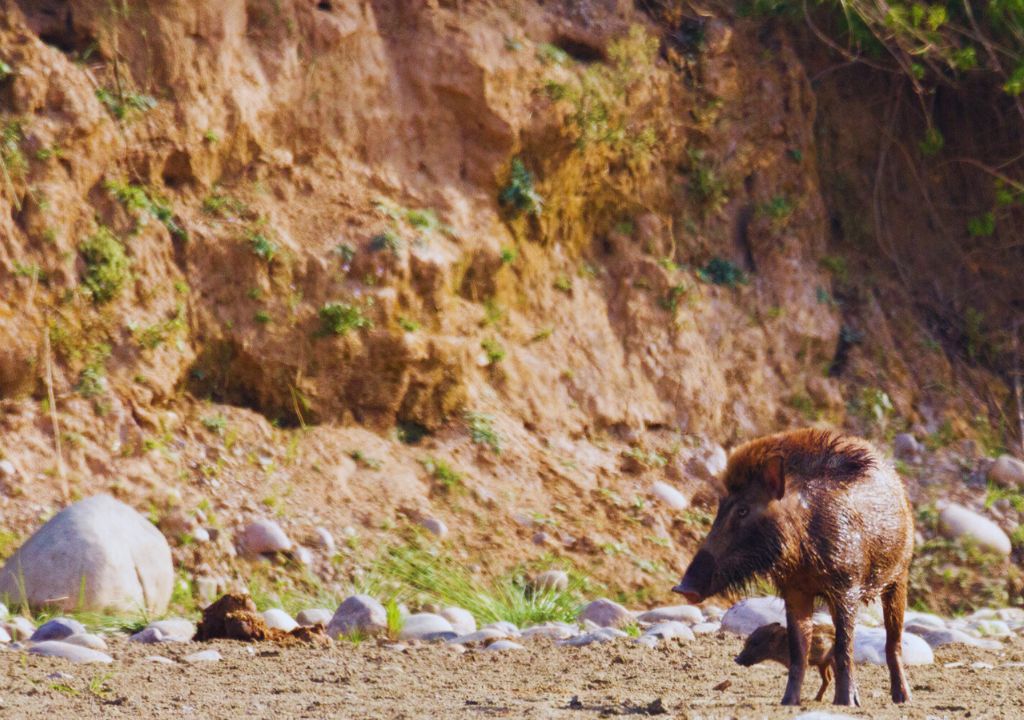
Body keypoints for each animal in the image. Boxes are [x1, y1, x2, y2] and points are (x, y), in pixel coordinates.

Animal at [672, 429, 914, 706]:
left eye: (743, 510)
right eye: (720, 507)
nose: (682, 588)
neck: (804, 554)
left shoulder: (847, 586)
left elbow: (844, 645)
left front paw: (847, 703)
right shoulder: (795, 590)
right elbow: (799, 648)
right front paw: (788, 702)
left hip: (899, 575)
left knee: (893, 642)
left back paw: (902, 697)